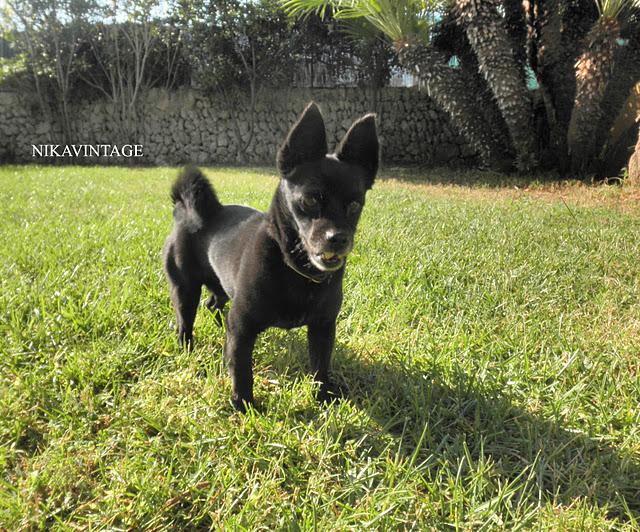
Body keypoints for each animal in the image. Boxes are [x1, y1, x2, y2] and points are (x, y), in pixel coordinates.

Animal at [162, 104, 380, 412]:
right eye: (310, 200)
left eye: (354, 205)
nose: (338, 238)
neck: (296, 270)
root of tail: (193, 211)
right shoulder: (243, 328)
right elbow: (242, 368)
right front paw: (244, 406)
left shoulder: (323, 327)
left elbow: (320, 366)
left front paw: (324, 398)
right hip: (184, 289)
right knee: (186, 321)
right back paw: (187, 348)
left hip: (221, 287)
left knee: (213, 304)